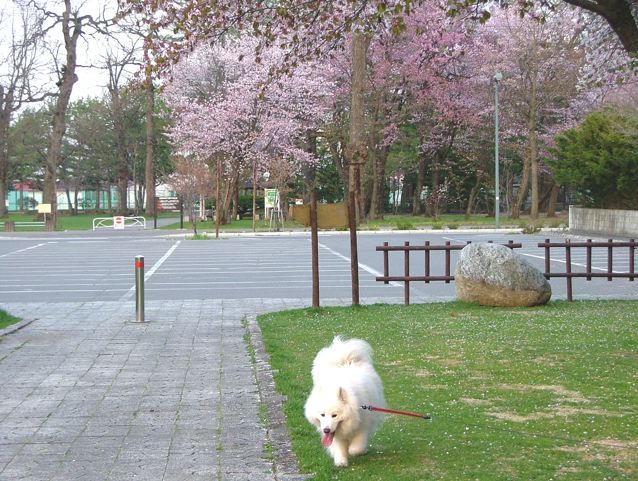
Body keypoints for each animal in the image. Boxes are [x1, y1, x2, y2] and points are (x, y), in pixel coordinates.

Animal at [304, 336, 384, 466]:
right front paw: (341, 461)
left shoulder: (363, 426)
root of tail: (345, 361)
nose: (326, 430)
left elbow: (356, 447)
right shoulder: (335, 435)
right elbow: (338, 447)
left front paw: (353, 451)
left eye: (334, 415)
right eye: (322, 415)